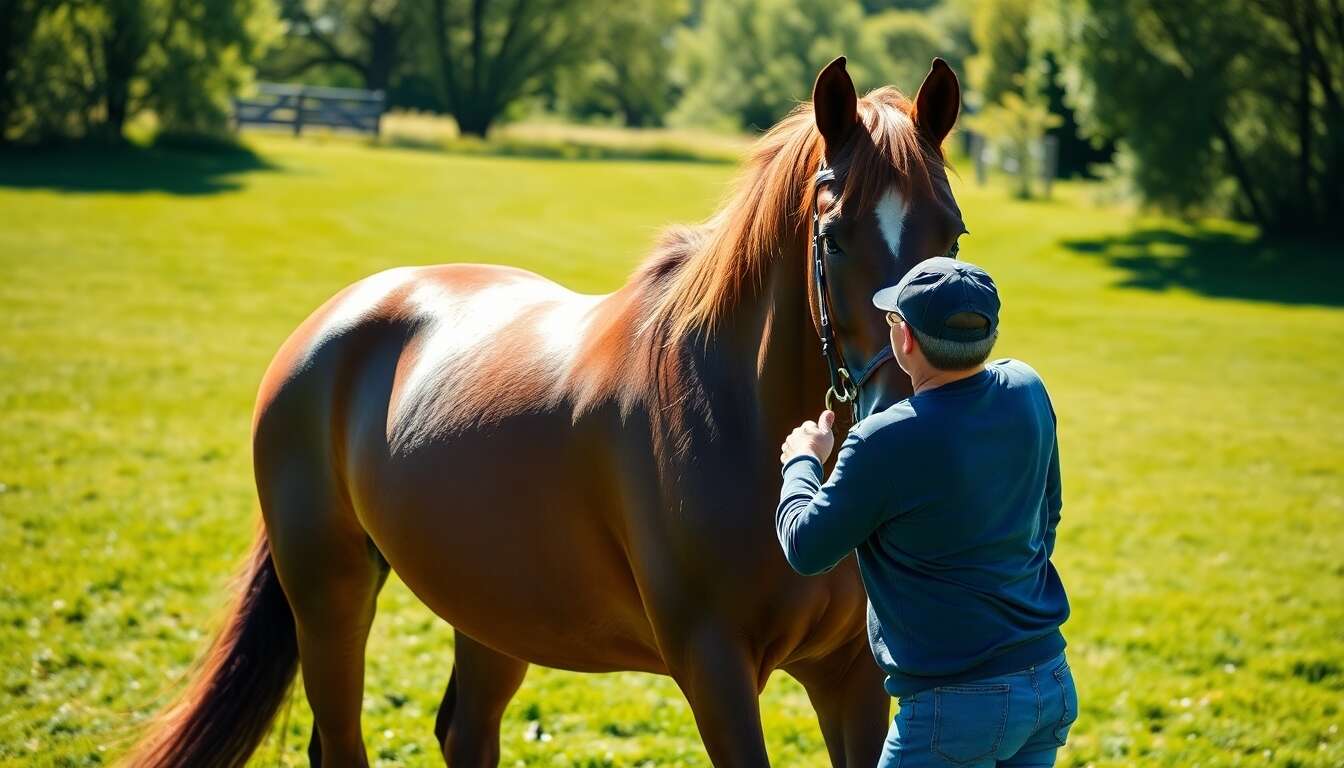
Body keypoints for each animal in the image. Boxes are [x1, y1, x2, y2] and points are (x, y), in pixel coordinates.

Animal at [128, 56, 966, 767]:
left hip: (491, 609)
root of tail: (335, 319)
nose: (910, 418)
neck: (732, 413)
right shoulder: (715, 668)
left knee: (464, 732)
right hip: (328, 592)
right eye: (834, 236)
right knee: (341, 741)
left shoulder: (851, 675)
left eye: (952, 234)